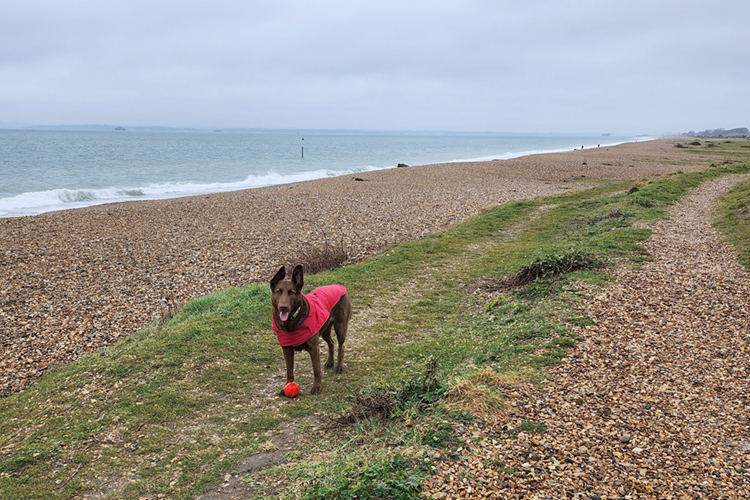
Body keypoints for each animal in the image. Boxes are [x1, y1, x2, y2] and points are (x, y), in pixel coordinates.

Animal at [270, 266, 352, 394]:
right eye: (278, 291)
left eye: (291, 292)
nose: (283, 307)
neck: (291, 322)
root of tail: (338, 286)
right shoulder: (287, 350)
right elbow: (289, 371)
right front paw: (287, 386)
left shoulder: (313, 348)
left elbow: (316, 369)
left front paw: (317, 386)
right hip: (324, 330)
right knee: (331, 343)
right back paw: (330, 362)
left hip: (340, 327)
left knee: (341, 346)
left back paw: (339, 366)